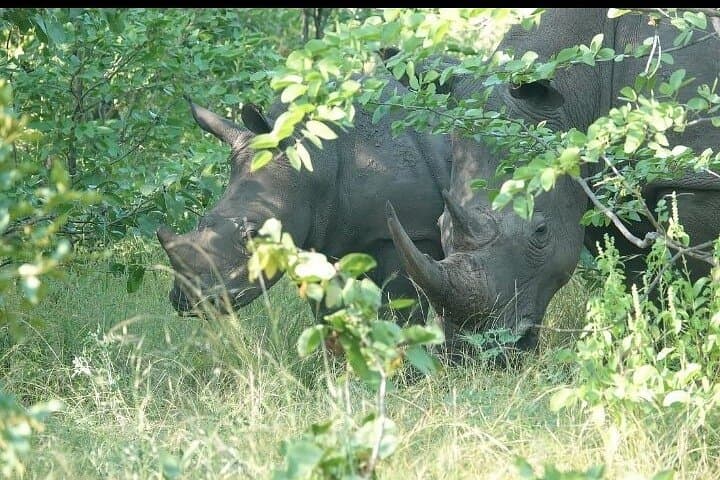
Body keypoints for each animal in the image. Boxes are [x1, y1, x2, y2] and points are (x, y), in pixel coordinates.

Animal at [157, 79, 451, 322]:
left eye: (252, 234)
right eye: (202, 221)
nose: (186, 300)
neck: (315, 161)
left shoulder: (410, 232)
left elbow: (402, 311)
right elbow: (326, 311)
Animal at [386, 8, 720, 353]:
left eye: (541, 231)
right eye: (440, 225)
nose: (469, 352)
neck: (578, 87)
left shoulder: (694, 176)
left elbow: (693, 271)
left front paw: (696, 345)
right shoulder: (601, 185)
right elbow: (637, 278)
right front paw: (653, 347)